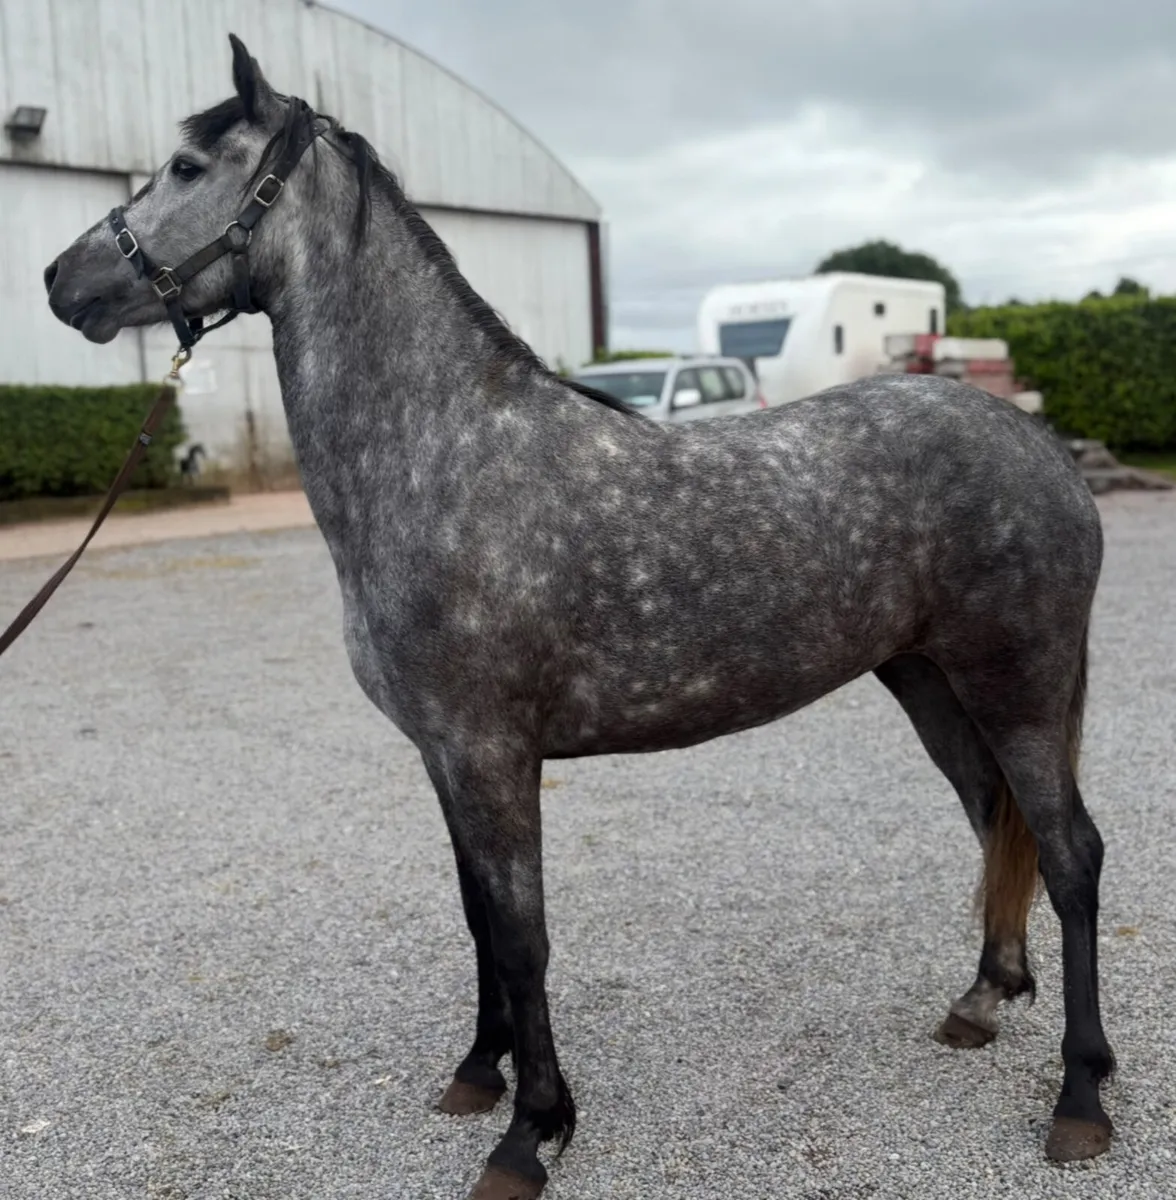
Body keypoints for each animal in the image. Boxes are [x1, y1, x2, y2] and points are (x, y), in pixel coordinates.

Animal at [43, 34, 1114, 1199]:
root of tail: (1042, 446)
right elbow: (479, 922)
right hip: (933, 684)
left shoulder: (492, 755)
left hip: (1017, 689)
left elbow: (524, 939)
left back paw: (1082, 1098)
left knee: (1071, 856)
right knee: (993, 820)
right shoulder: (446, 757)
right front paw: (480, 1074)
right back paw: (982, 1001)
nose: (59, 281)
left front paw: (531, 1132)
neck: (442, 457)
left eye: (188, 168)